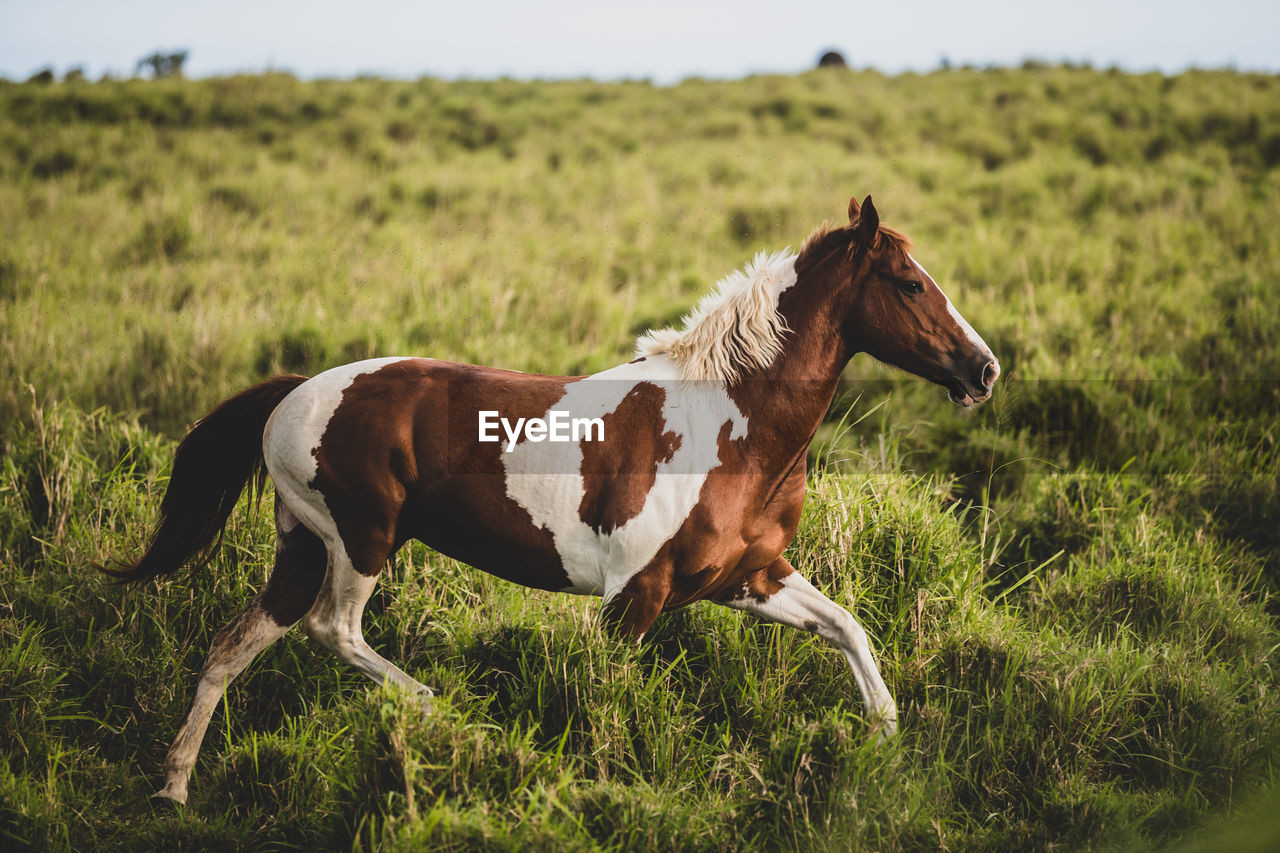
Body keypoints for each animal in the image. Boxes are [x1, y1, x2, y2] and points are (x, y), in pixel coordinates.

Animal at [107, 190, 998, 799]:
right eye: (910, 283)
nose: (984, 368)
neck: (728, 421)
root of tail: (295, 392)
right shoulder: (633, 595)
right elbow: (607, 705)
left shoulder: (747, 579)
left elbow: (848, 628)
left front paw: (884, 738)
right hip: (361, 537)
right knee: (335, 629)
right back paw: (437, 710)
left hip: (301, 544)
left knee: (234, 644)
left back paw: (175, 785)